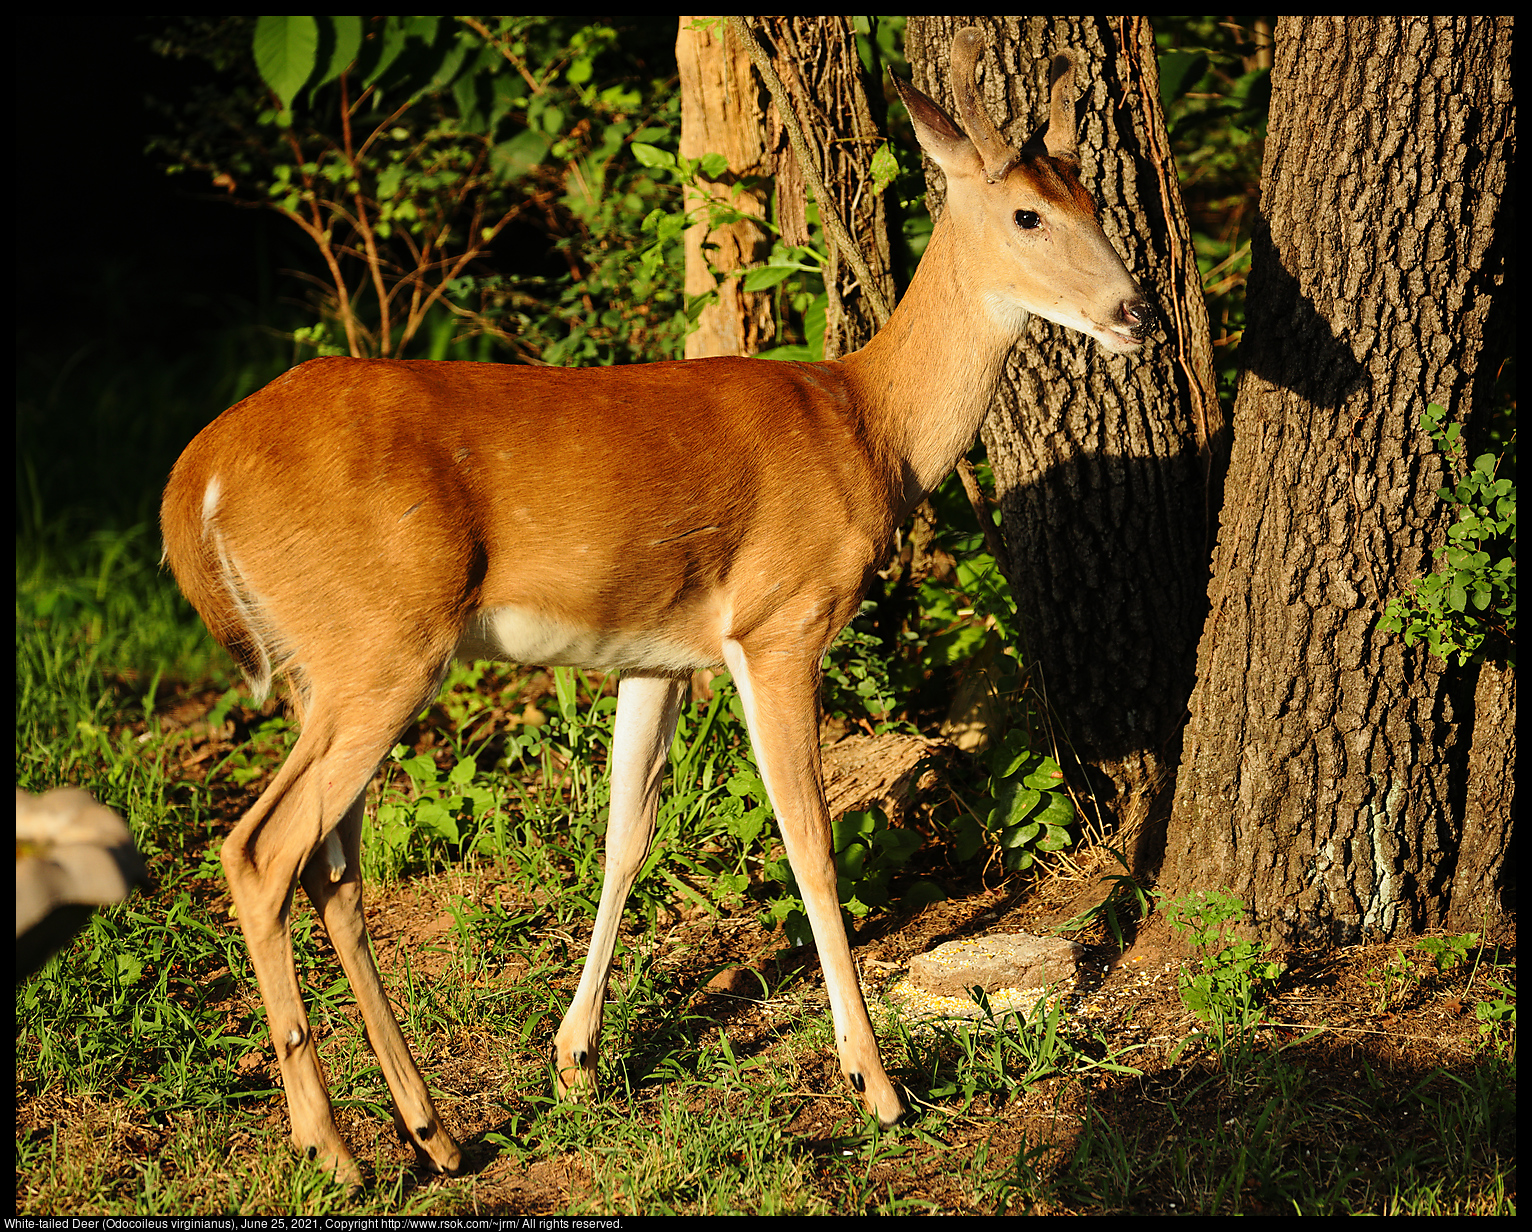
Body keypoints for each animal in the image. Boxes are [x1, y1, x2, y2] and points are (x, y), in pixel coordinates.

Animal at [164, 31, 1152, 1182]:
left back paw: (434, 1130)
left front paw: (575, 1059)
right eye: (1028, 214)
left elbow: (625, 836)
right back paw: (336, 1148)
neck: (870, 425)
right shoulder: (777, 618)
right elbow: (809, 842)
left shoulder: (656, 655)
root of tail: (195, 479)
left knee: (332, 868)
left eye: (1094, 198)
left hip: (329, 665)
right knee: (260, 850)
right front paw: (876, 1085)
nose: (1135, 312)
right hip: (380, 644)